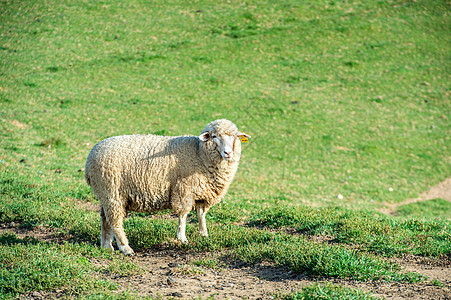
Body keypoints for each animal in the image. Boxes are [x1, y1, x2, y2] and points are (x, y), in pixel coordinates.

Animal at [85, 118, 251, 254]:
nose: (228, 153)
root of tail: (89, 159)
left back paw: (107, 246)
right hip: (112, 192)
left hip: (106, 194)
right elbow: (183, 215)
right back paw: (125, 248)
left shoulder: (202, 193)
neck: (199, 153)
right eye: (214, 136)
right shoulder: (184, 189)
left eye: (235, 137)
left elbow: (201, 214)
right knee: (115, 221)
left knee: (104, 218)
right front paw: (182, 238)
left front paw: (204, 234)